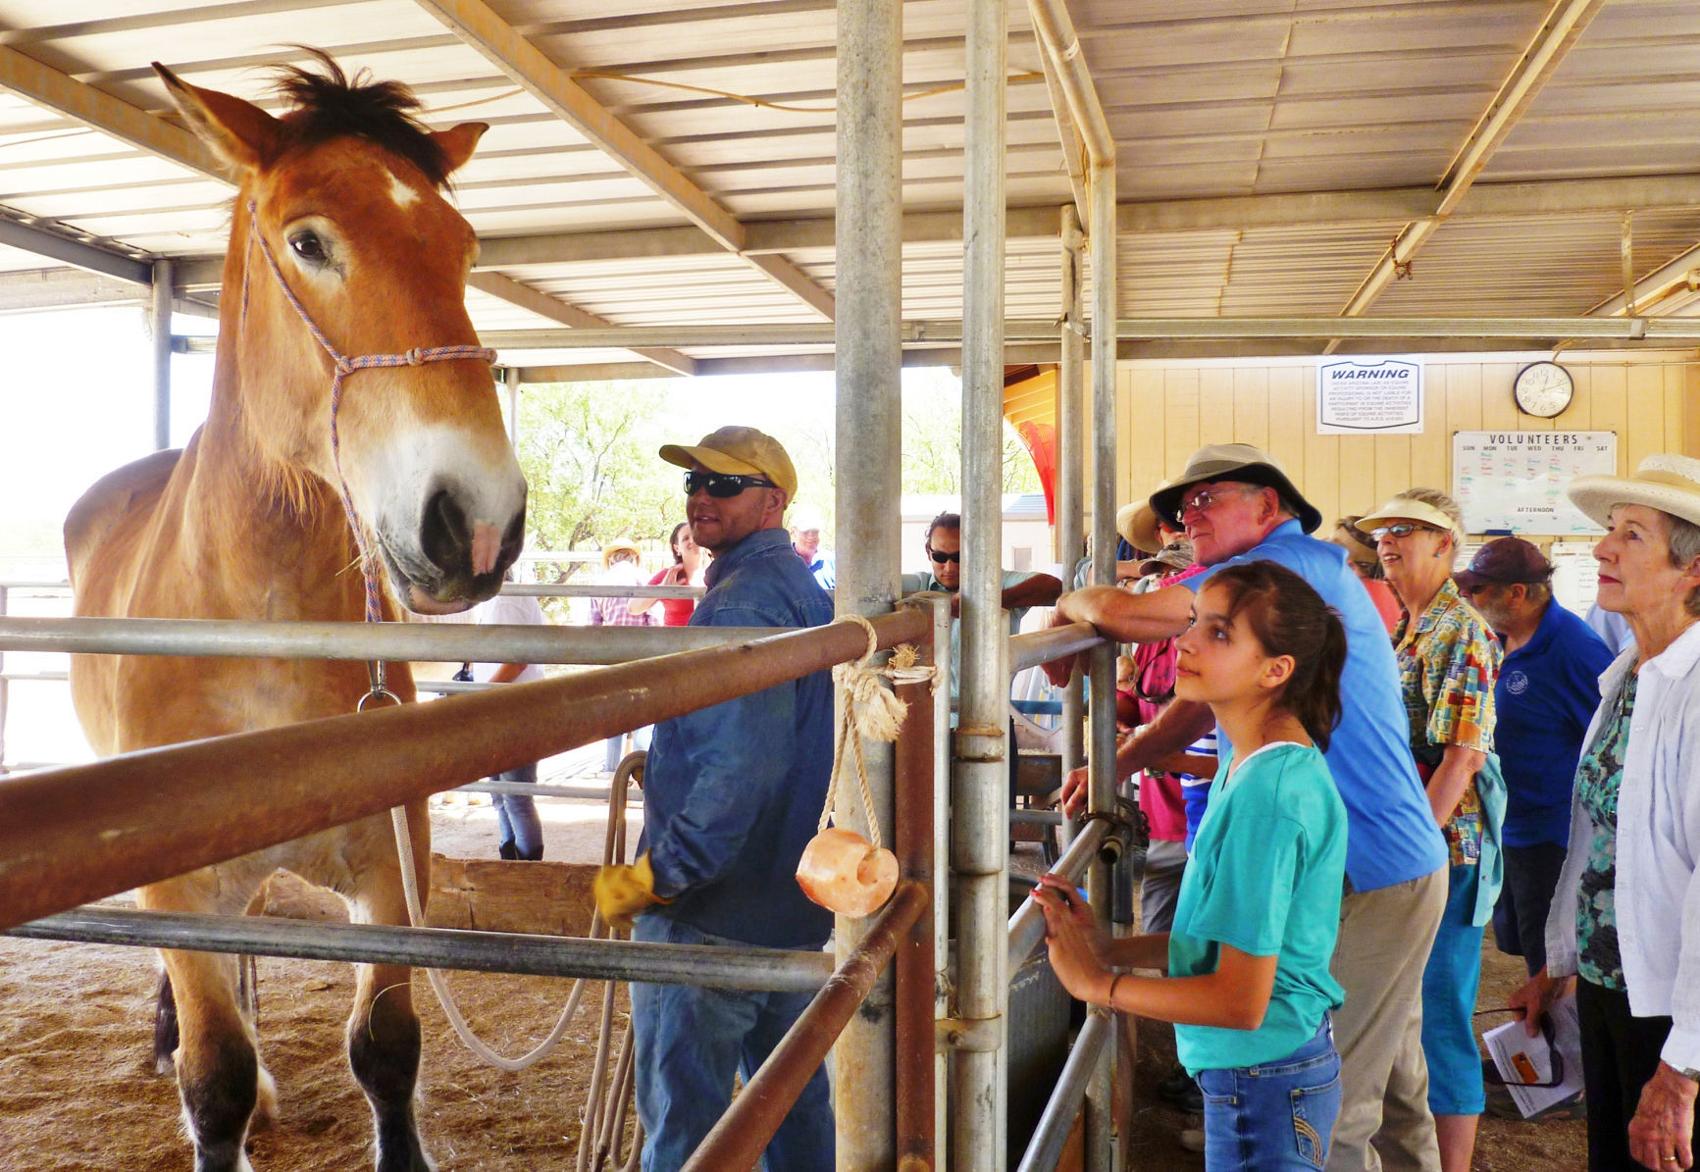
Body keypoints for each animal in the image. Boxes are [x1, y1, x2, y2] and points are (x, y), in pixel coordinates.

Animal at [63, 52, 525, 1171]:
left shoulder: (391, 869)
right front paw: (218, 1083)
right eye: (308, 241)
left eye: (462, 248)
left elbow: (386, 1048)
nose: (476, 520)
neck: (260, 626)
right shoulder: (181, 896)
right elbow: (216, 1078)